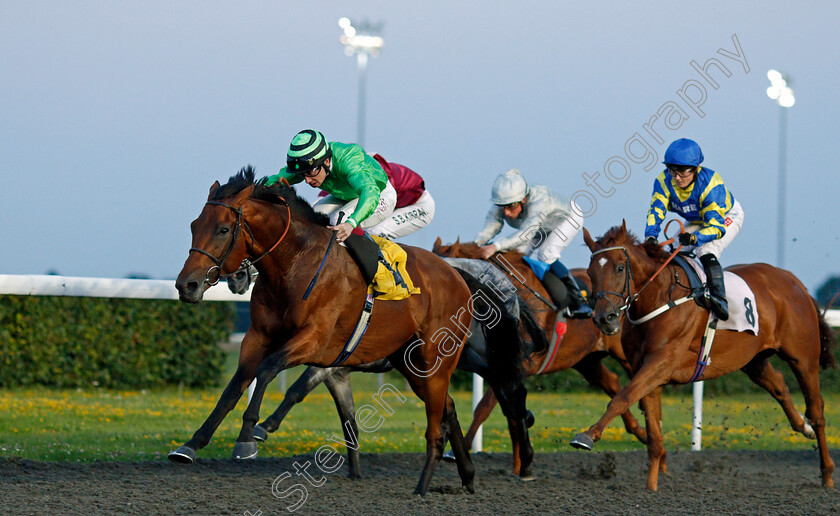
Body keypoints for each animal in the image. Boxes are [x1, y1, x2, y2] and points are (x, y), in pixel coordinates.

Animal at [169, 168, 480, 496]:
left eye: (223, 229)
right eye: (194, 226)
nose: (186, 285)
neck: (295, 261)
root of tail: (457, 276)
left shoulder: (315, 340)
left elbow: (267, 370)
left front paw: (247, 437)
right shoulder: (258, 335)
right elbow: (234, 386)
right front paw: (192, 443)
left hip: (434, 361)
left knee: (437, 420)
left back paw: (423, 486)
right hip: (412, 365)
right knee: (448, 407)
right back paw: (467, 474)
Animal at [434, 238, 648, 456]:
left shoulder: (516, 364)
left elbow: (484, 406)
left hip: (622, 352)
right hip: (585, 359)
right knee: (613, 382)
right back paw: (640, 432)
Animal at [572, 221, 832, 488]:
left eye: (620, 268)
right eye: (590, 273)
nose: (604, 318)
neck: (660, 297)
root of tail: (793, 281)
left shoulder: (661, 362)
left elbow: (622, 398)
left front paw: (587, 435)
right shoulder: (644, 369)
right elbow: (653, 432)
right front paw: (651, 487)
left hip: (803, 359)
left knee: (817, 410)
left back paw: (827, 473)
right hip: (753, 360)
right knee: (779, 385)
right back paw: (803, 426)